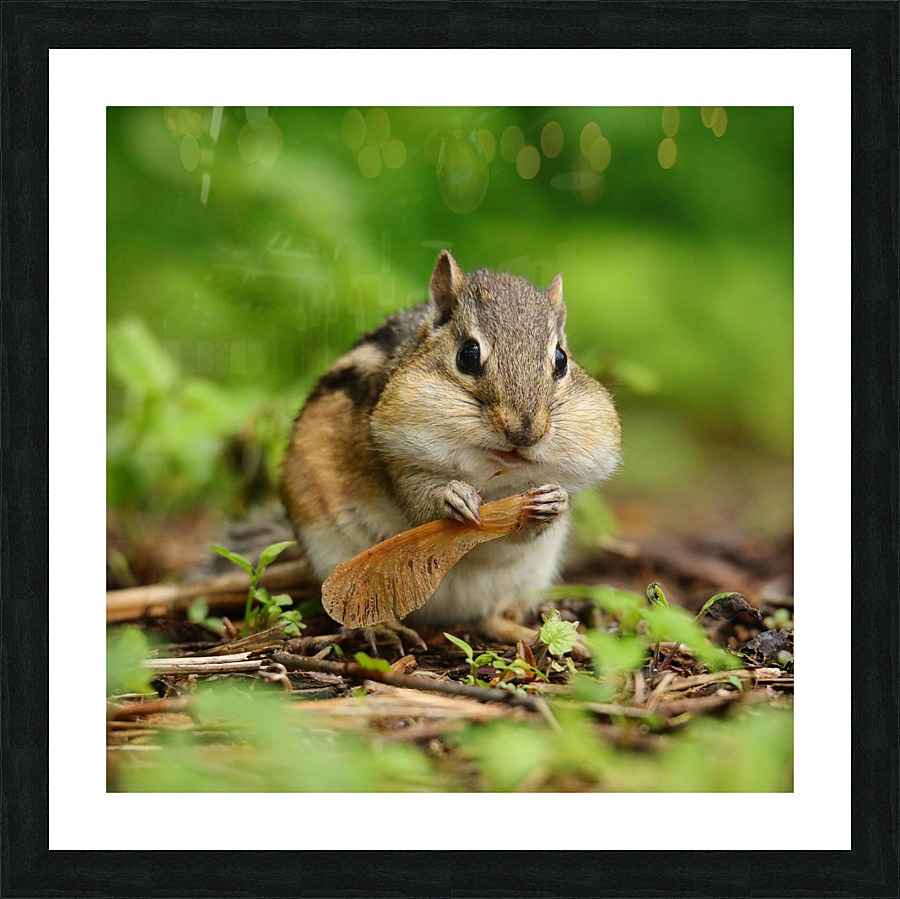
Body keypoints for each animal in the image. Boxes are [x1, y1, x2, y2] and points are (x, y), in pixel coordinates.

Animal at [280, 251, 621, 644]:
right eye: (468, 355)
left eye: (562, 359)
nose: (524, 433)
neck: (493, 471)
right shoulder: (400, 462)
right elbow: (419, 502)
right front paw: (454, 497)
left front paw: (553, 502)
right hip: (330, 552)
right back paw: (381, 629)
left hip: (528, 577)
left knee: (492, 621)